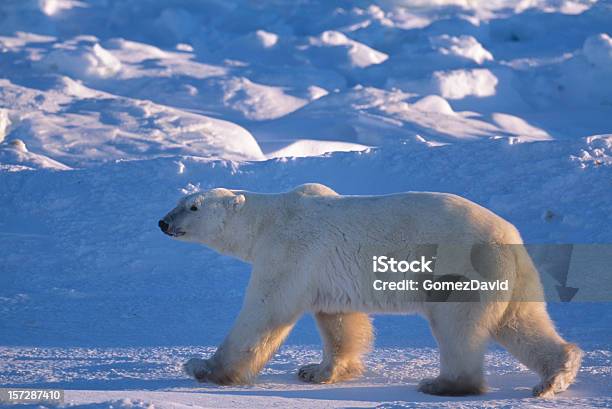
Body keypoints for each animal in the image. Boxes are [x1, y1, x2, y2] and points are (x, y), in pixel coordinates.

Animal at [159, 183, 584, 396]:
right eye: (179, 200)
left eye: (193, 207)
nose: (163, 222)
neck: (269, 219)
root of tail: (508, 237)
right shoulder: (324, 273)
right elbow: (337, 320)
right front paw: (318, 371)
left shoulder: (289, 251)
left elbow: (264, 312)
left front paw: (203, 367)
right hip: (513, 277)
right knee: (521, 321)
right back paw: (554, 376)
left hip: (460, 268)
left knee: (458, 327)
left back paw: (444, 384)